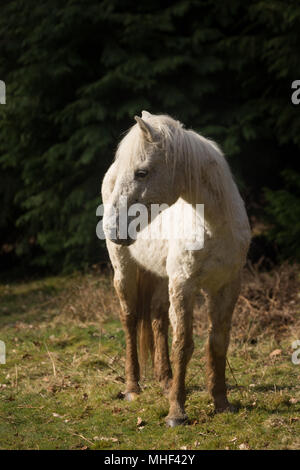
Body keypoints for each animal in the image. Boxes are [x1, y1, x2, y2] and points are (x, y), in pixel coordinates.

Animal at [101, 112, 251, 428]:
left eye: (142, 172)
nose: (111, 228)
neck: (213, 226)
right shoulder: (184, 284)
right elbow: (184, 344)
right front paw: (176, 414)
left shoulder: (226, 287)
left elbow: (218, 342)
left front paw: (221, 403)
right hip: (124, 269)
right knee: (130, 319)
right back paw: (133, 388)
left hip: (161, 278)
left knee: (158, 319)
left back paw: (166, 381)